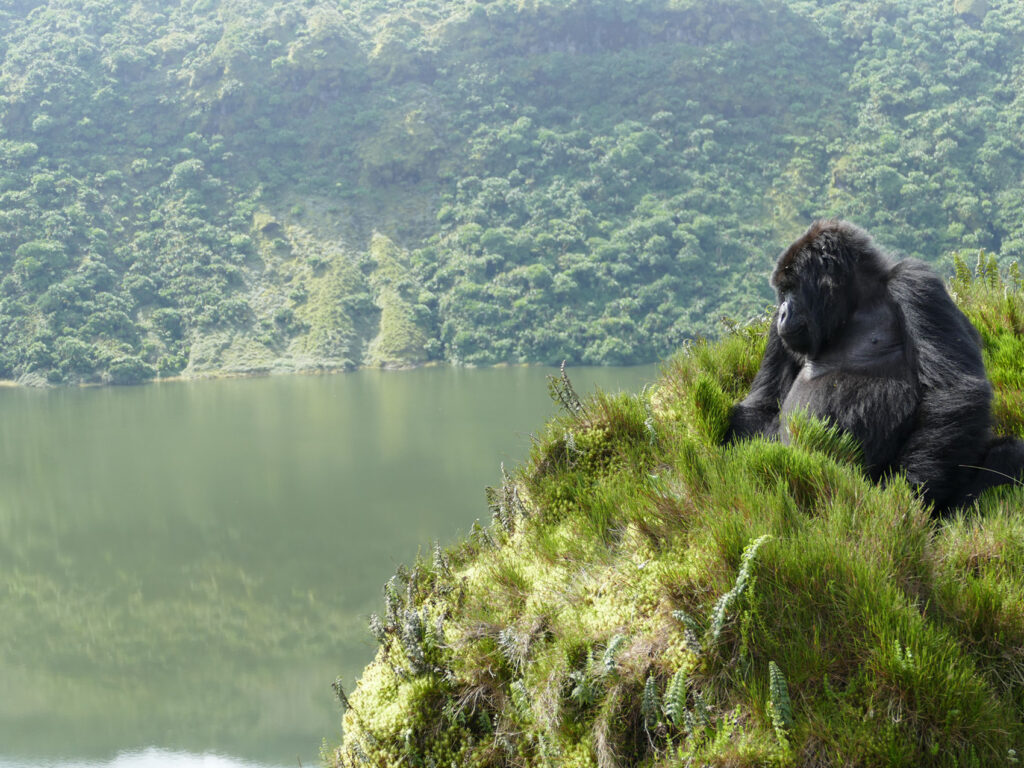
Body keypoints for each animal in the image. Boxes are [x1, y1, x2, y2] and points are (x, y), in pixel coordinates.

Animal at [729, 219, 1024, 514]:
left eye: (792, 288)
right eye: (783, 291)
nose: (781, 312)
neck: (854, 304)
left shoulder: (915, 282)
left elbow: (953, 388)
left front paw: (903, 494)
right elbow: (763, 406)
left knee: (1008, 452)